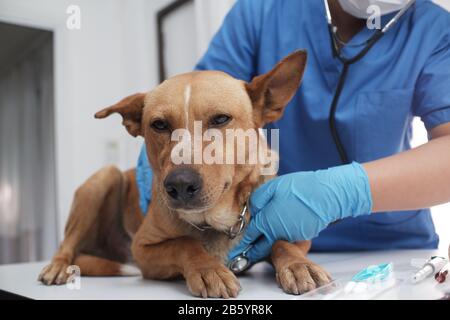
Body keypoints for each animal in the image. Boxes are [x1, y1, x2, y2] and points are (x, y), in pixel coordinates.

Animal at [37, 50, 330, 298]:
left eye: (221, 119)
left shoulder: (295, 234)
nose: (179, 184)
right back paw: (58, 267)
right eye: (159, 124)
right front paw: (208, 269)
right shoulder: (142, 249)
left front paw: (298, 265)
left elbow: (281, 241)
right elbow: (184, 243)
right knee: (66, 245)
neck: (214, 220)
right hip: (103, 178)